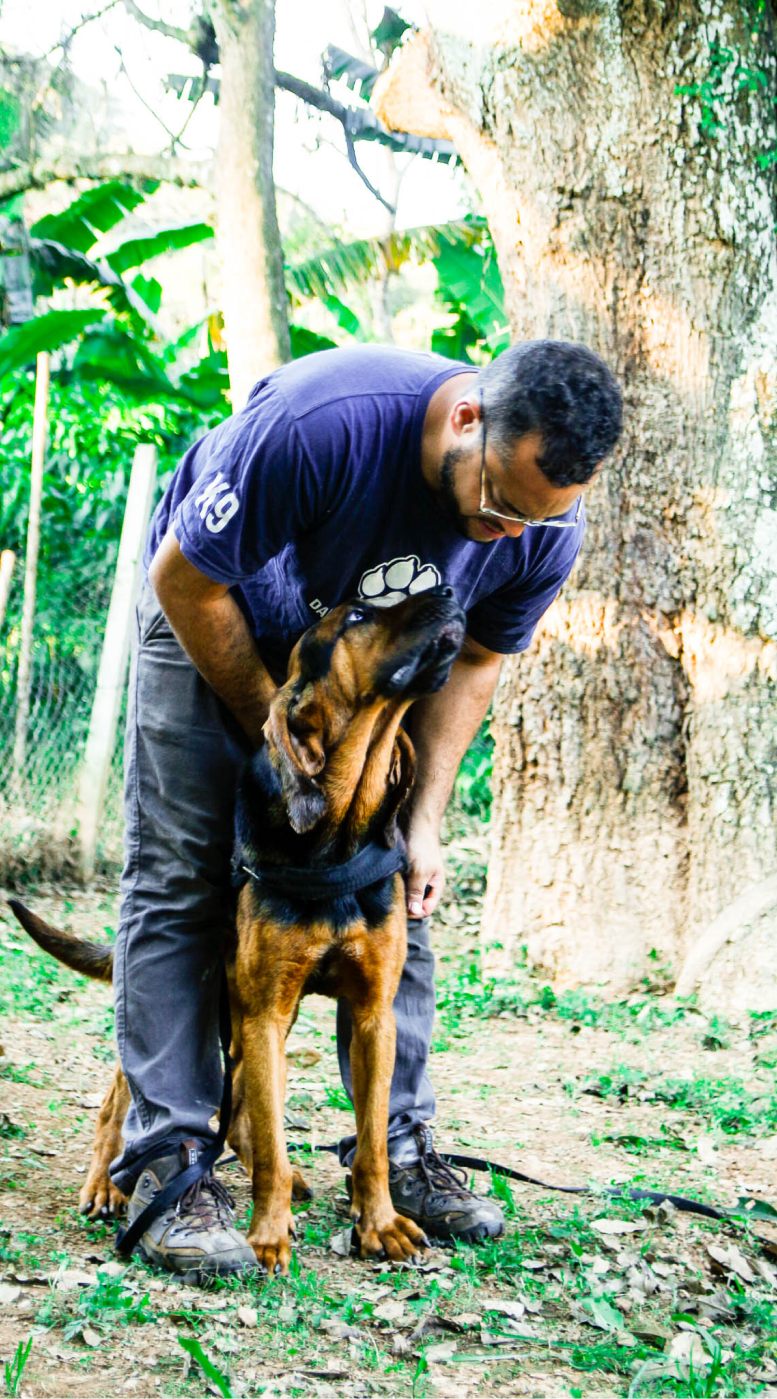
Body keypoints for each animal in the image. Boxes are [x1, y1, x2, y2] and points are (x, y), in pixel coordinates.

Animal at [9, 586, 466, 1274]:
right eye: (358, 616)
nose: (448, 594)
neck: (335, 839)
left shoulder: (370, 1017)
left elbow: (373, 1142)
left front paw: (380, 1222)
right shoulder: (266, 1012)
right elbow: (273, 1141)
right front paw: (268, 1236)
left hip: (252, 1022)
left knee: (246, 1111)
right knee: (123, 1096)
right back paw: (108, 1185)